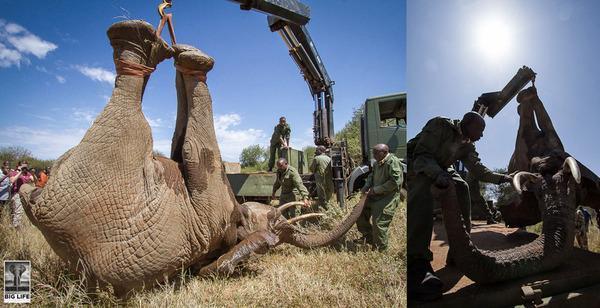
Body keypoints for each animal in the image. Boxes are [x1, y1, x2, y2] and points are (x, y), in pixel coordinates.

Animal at [17, 19, 366, 296]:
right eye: (277, 218)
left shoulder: (209, 210)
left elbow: (189, 149)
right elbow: (181, 145)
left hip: (105, 163)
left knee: (134, 111)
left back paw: (144, 44)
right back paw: (161, 46)